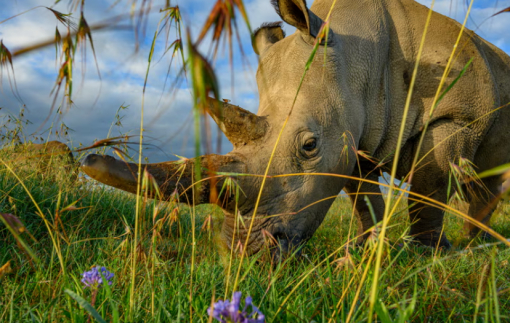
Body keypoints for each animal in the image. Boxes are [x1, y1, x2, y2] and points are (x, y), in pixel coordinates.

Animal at [80, 0, 510, 256]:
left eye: (309, 146)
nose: (245, 254)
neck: (360, 53)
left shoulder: (458, 116)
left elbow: (429, 188)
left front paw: (425, 253)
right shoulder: (356, 133)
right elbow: (364, 198)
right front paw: (366, 247)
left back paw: (476, 245)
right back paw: (482, 243)